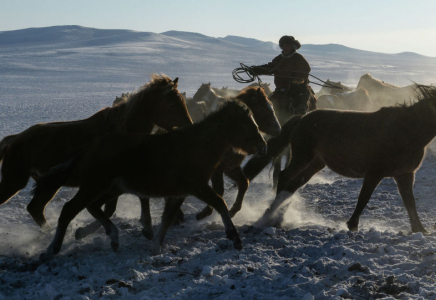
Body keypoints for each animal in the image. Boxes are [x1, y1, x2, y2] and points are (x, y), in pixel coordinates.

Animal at [0, 74, 192, 231]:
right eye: (172, 104)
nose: (188, 127)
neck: (120, 131)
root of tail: (15, 139)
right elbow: (107, 209)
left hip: (49, 185)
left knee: (36, 209)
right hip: (15, 183)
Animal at [37, 99, 268, 258]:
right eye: (246, 125)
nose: (263, 146)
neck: (196, 146)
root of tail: (90, 147)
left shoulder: (178, 194)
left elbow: (166, 221)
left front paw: (155, 248)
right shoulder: (197, 187)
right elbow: (220, 203)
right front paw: (235, 238)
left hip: (110, 188)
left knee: (94, 207)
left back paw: (111, 237)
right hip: (94, 186)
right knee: (69, 209)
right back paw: (52, 249)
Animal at [247, 84, 434, 234]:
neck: (405, 130)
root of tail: (301, 118)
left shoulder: (405, 174)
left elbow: (410, 202)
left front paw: (420, 229)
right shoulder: (374, 173)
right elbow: (364, 198)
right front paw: (353, 225)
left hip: (316, 163)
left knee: (293, 184)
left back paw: (279, 217)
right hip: (302, 157)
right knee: (284, 176)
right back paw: (272, 217)